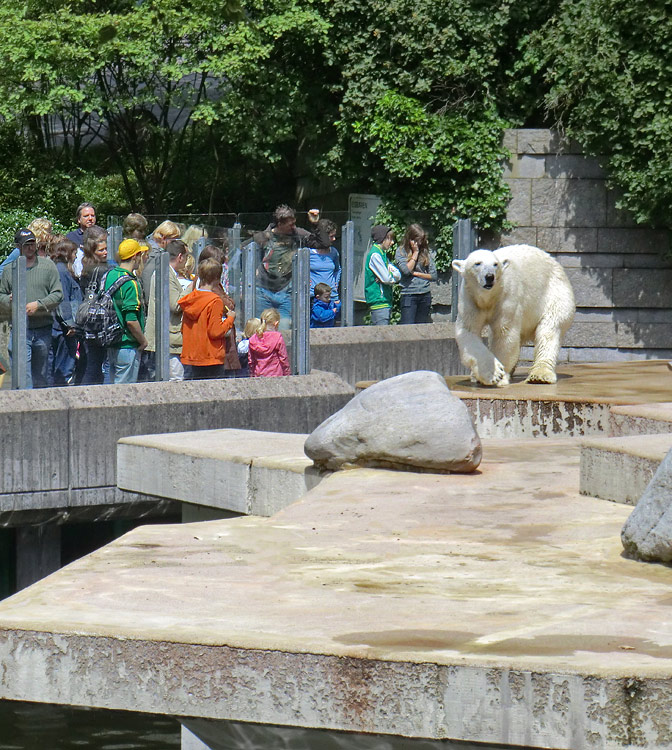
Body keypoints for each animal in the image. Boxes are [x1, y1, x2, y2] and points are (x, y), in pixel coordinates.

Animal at [452, 247, 572, 388]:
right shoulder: (470, 300)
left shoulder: (506, 298)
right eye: (477, 263)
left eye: (495, 264)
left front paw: (499, 375)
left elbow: (504, 334)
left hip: (555, 294)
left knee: (548, 331)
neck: (488, 298)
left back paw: (540, 375)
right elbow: (468, 332)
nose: (490, 277)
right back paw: (475, 376)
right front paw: (491, 374)